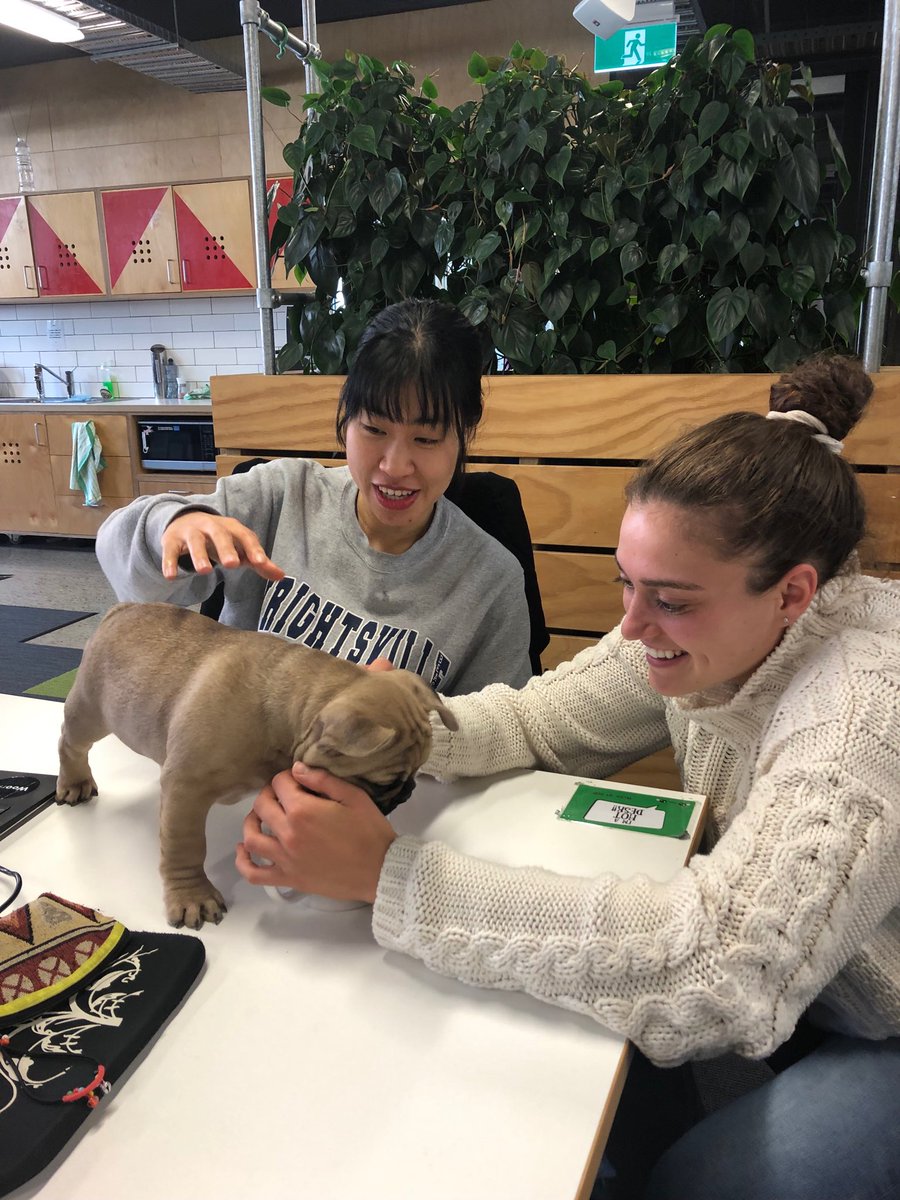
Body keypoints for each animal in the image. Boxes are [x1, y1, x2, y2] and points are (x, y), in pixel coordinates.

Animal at [54, 600, 458, 926]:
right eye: (383, 782)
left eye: (416, 772)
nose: (407, 793)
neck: (287, 712)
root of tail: (121, 609)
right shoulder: (186, 788)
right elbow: (185, 846)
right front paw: (192, 896)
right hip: (91, 711)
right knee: (70, 742)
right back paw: (74, 782)